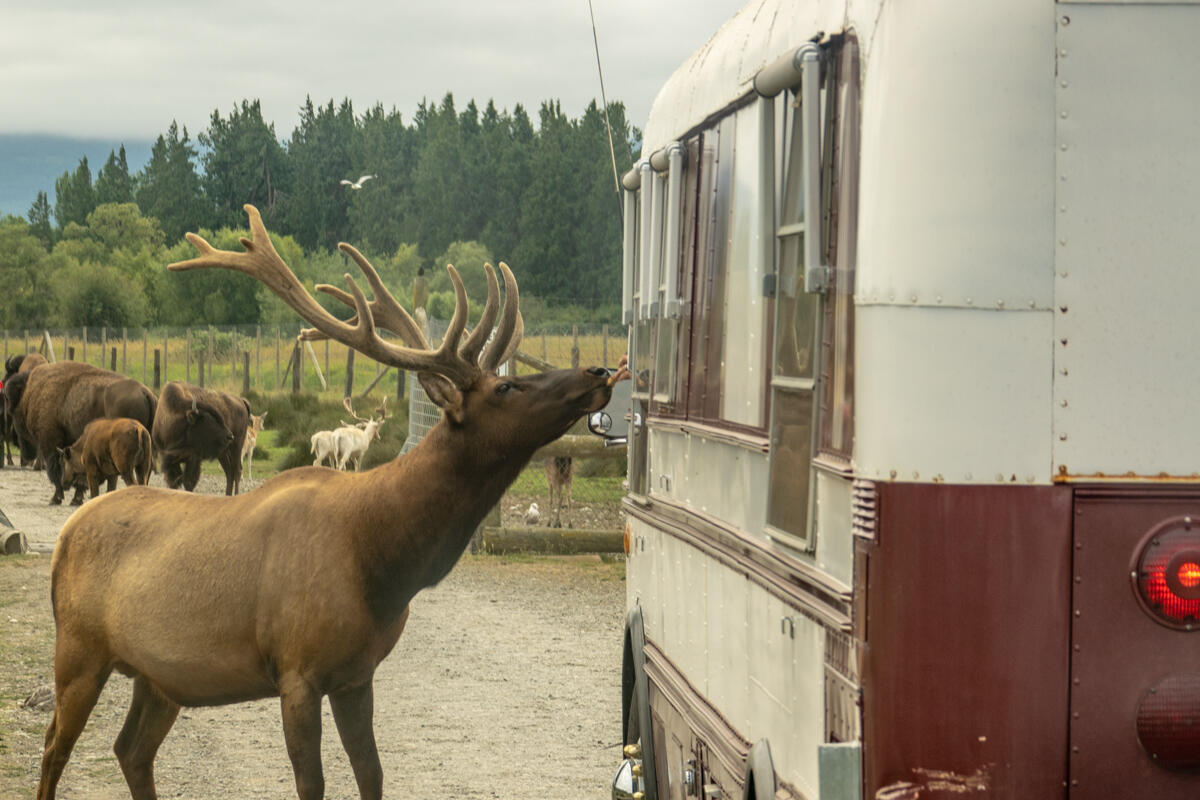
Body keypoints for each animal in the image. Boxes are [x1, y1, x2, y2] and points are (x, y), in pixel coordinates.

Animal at [10, 364, 156, 506]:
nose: (25, 455)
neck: (30, 393)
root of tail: (145, 392)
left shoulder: (51, 444)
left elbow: (57, 473)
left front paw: (57, 499)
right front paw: (75, 499)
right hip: (145, 460)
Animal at [36, 206, 628, 800]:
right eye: (506, 389)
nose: (600, 372)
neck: (383, 562)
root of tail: (64, 539)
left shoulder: (356, 673)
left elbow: (371, 773)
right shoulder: (297, 670)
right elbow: (312, 781)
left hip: (159, 676)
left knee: (131, 750)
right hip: (78, 647)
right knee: (53, 746)